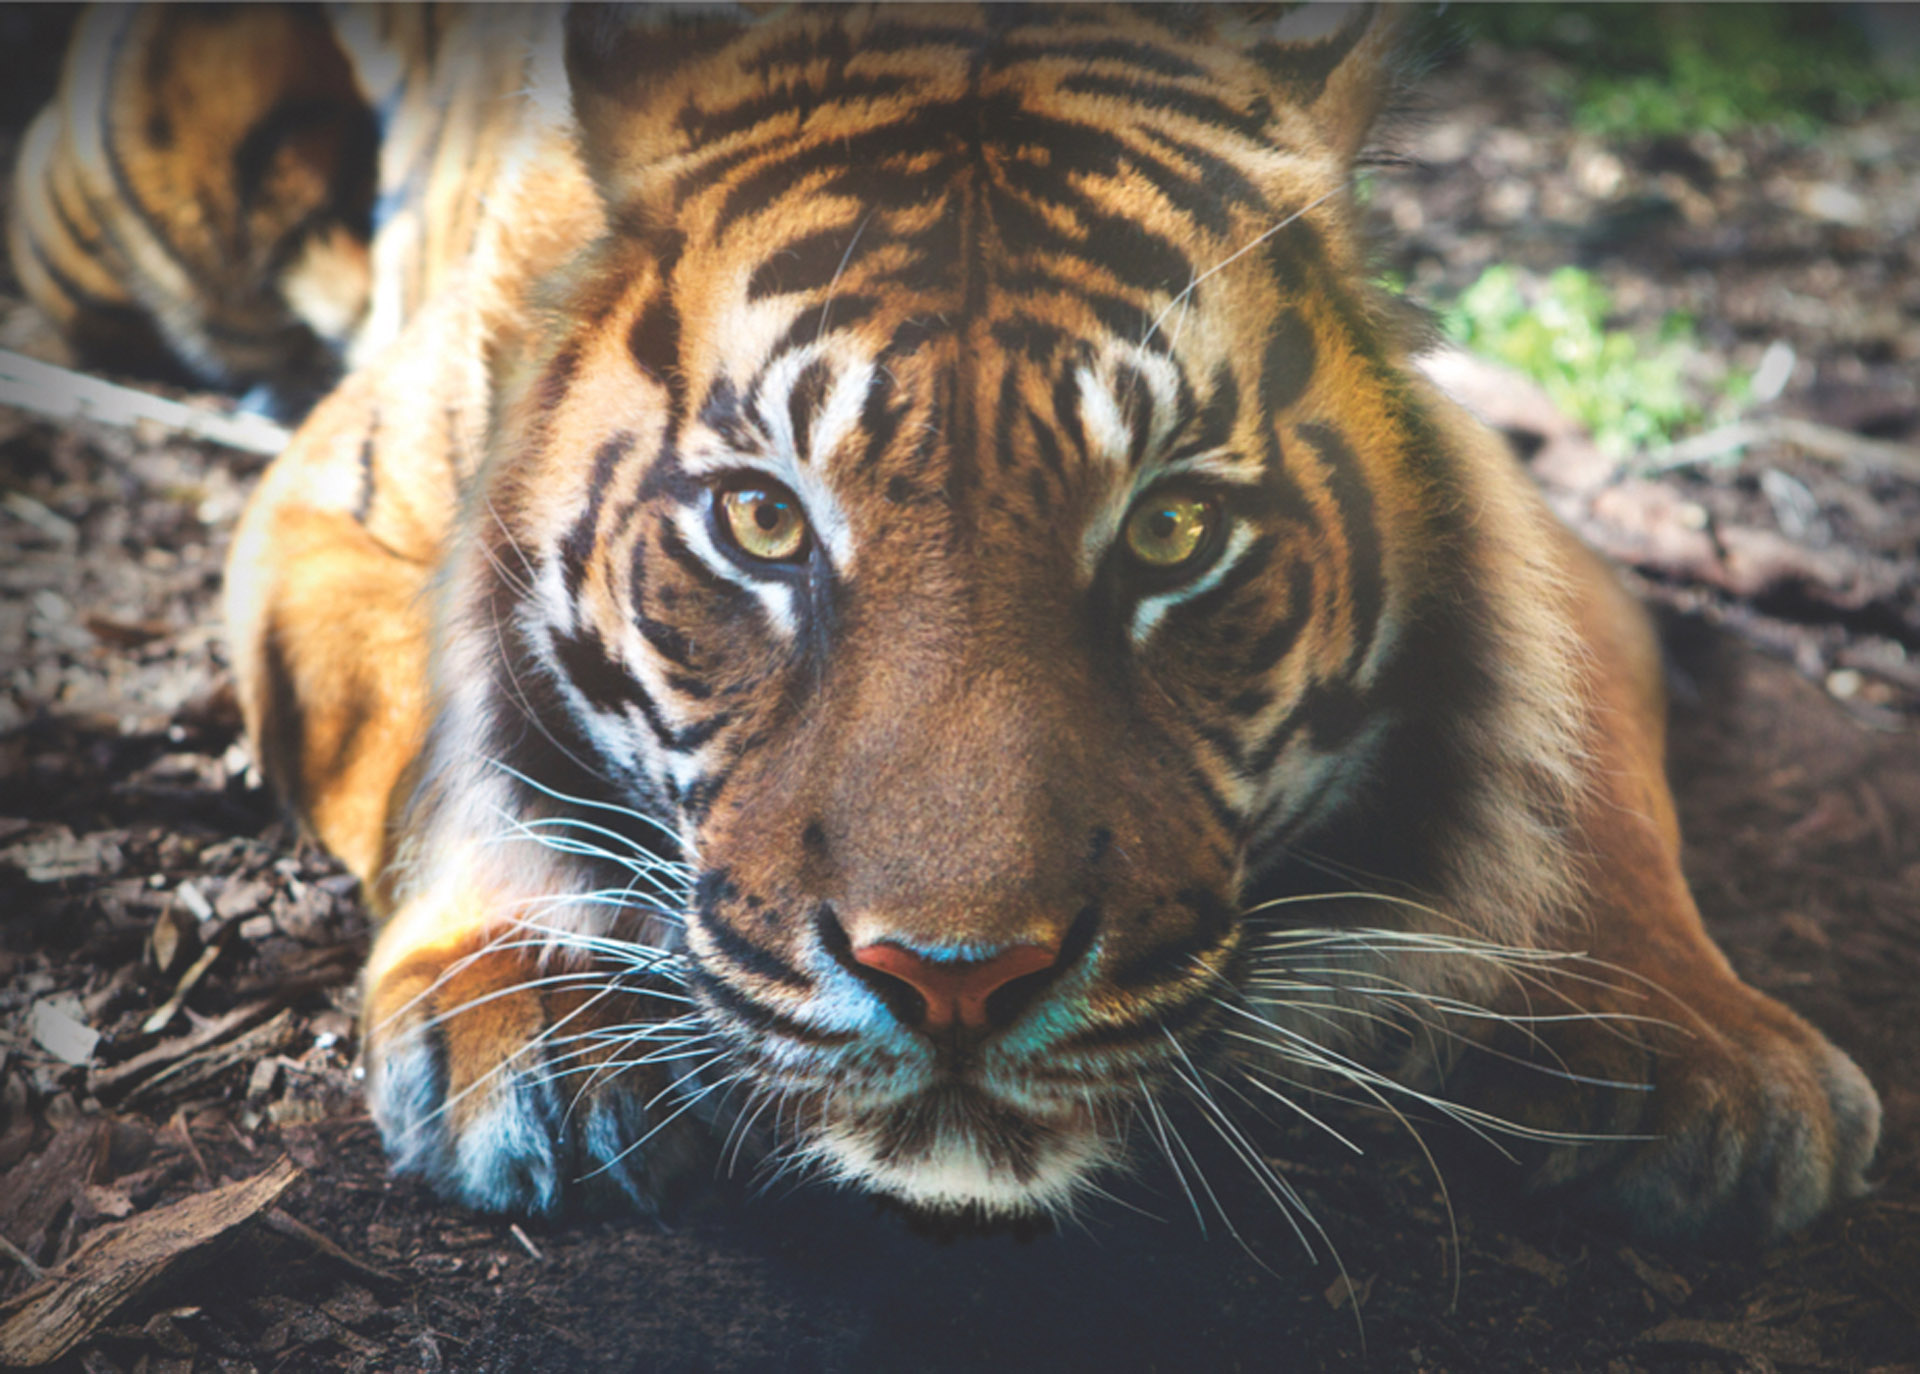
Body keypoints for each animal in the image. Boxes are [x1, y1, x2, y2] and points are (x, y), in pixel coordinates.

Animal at [11, 3, 1880, 1245]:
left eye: (1174, 531)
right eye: (763, 522)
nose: (956, 982)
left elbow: (1585, 765)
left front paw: (1696, 1051)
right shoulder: (345, 503)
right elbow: (432, 733)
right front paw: (537, 1001)